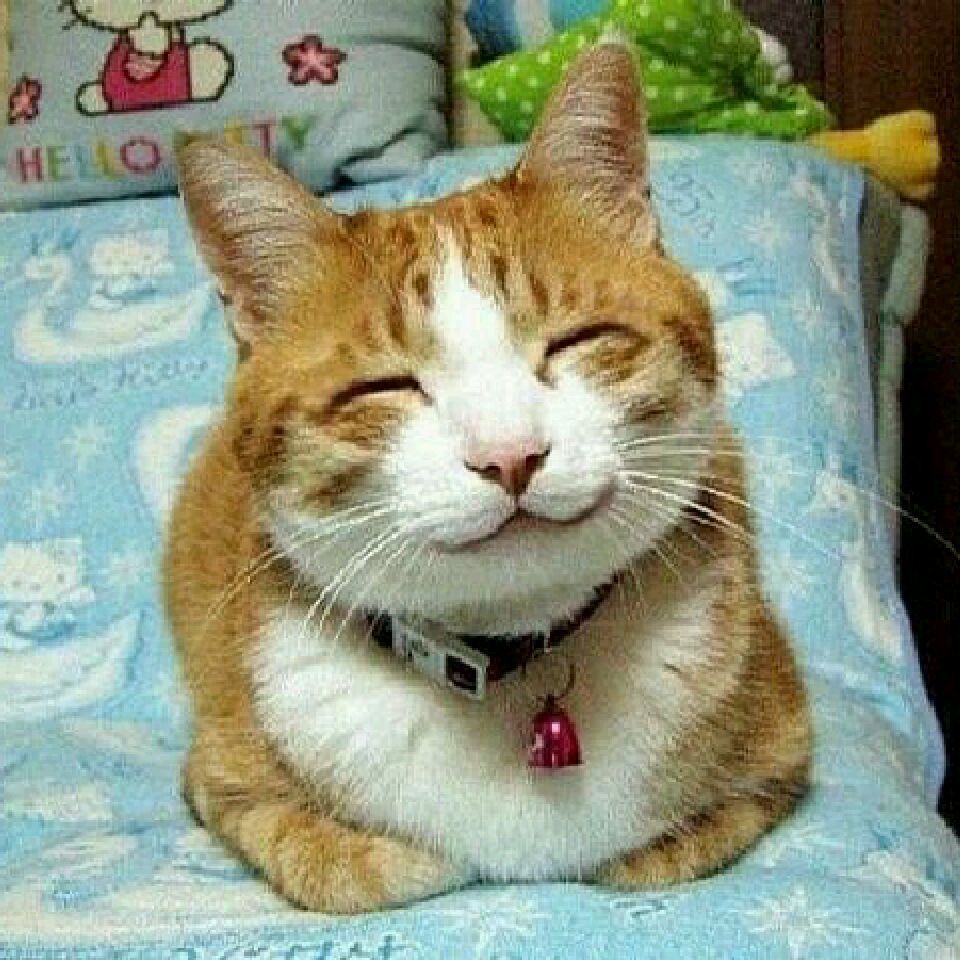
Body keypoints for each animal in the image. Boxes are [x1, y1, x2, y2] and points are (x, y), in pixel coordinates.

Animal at [166, 39, 810, 913]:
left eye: (578, 340)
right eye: (384, 387)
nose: (510, 454)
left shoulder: (786, 745)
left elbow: (690, 840)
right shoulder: (217, 776)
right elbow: (326, 860)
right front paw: (376, 854)